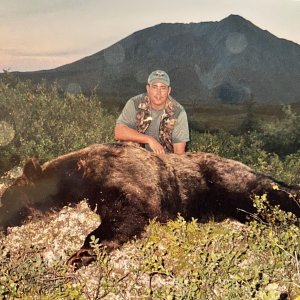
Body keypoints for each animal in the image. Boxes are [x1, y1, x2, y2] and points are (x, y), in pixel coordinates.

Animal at [0, 142, 300, 268]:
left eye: (5, 200)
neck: (76, 175)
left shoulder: (123, 178)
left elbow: (128, 215)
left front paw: (79, 255)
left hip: (236, 188)